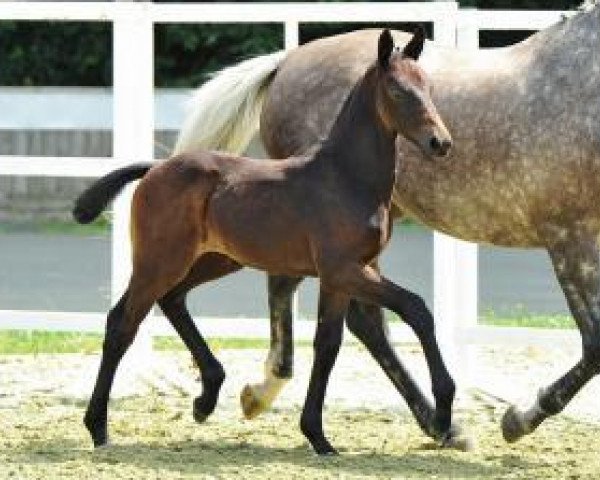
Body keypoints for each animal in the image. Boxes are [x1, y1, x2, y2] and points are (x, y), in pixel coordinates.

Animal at [72, 29, 452, 454]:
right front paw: (443, 415)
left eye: (428, 87)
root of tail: (156, 168)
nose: (440, 142)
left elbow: (328, 344)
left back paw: (206, 396)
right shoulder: (345, 269)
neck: (347, 178)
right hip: (159, 262)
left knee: (171, 300)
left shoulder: (340, 277)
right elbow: (416, 309)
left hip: (213, 260)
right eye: (398, 90)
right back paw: (98, 426)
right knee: (122, 323)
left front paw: (318, 436)